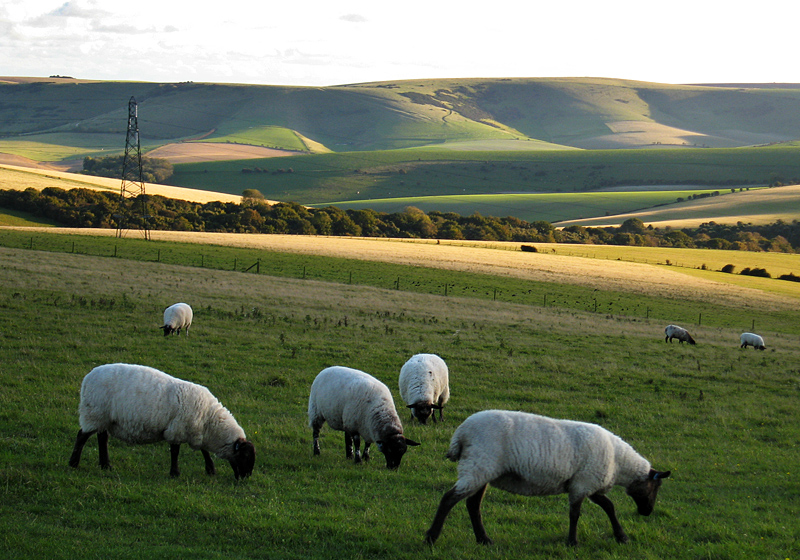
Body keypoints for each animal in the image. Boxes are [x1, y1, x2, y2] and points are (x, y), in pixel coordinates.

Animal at [70, 364, 256, 482]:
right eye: (245, 456)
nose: (246, 477)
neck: (208, 419)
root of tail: (87, 378)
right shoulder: (177, 429)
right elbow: (175, 451)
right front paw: (175, 473)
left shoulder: (196, 431)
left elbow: (203, 451)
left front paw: (210, 470)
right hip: (94, 413)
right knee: (81, 436)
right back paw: (74, 463)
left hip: (105, 418)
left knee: (102, 438)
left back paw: (105, 465)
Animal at [424, 406, 668, 548]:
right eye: (655, 488)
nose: (647, 512)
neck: (619, 462)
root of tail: (461, 432)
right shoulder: (583, 484)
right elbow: (576, 514)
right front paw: (572, 542)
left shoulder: (587, 484)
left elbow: (608, 507)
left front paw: (621, 537)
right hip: (478, 465)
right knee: (449, 499)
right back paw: (431, 538)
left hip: (482, 469)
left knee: (473, 504)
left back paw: (484, 540)